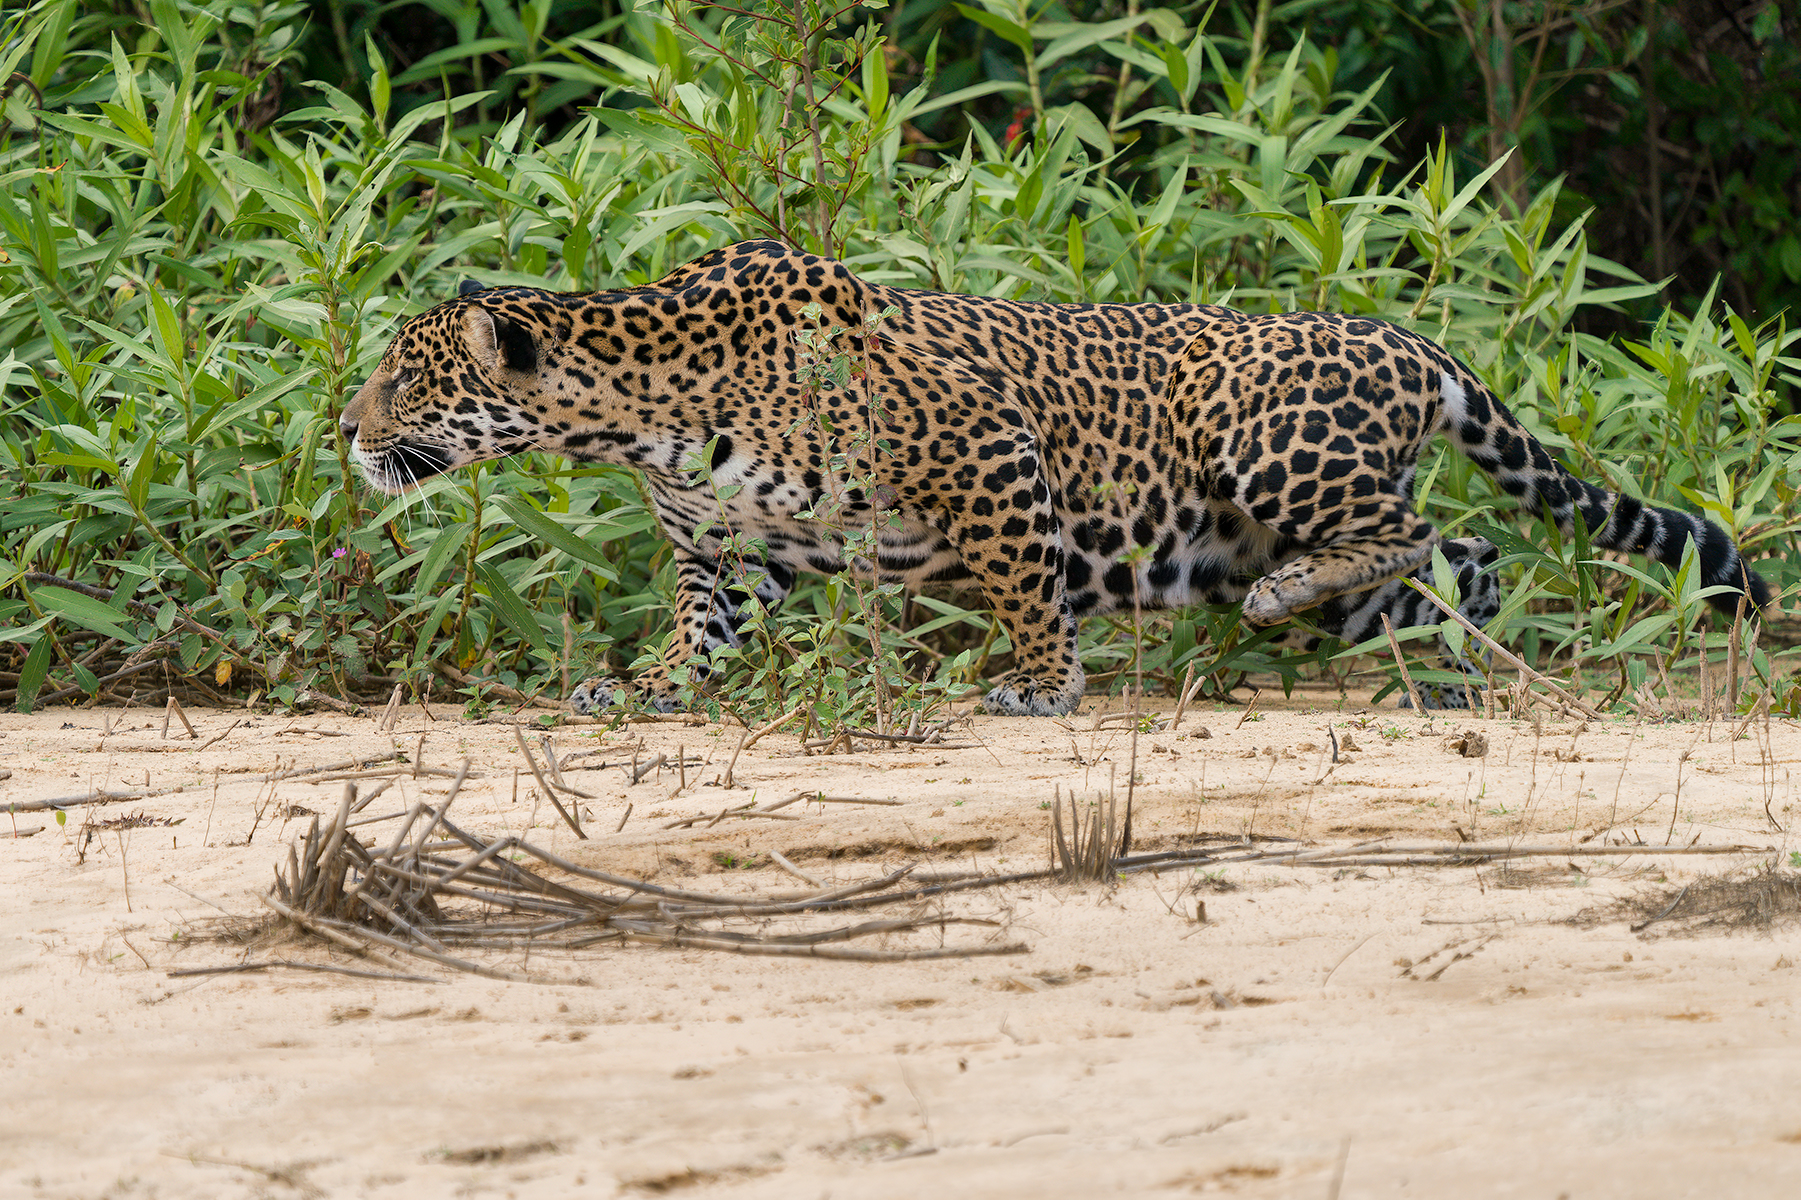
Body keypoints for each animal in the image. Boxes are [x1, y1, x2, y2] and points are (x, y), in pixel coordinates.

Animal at [340, 239, 1770, 716]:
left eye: (403, 381)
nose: (345, 436)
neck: (637, 415)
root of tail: (1414, 341)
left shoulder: (983, 449)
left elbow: (1028, 579)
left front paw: (1039, 686)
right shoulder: (721, 546)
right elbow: (699, 627)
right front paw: (642, 690)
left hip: (1262, 436)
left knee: (1417, 529)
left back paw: (1312, 611)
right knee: (1459, 556)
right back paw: (1440, 671)